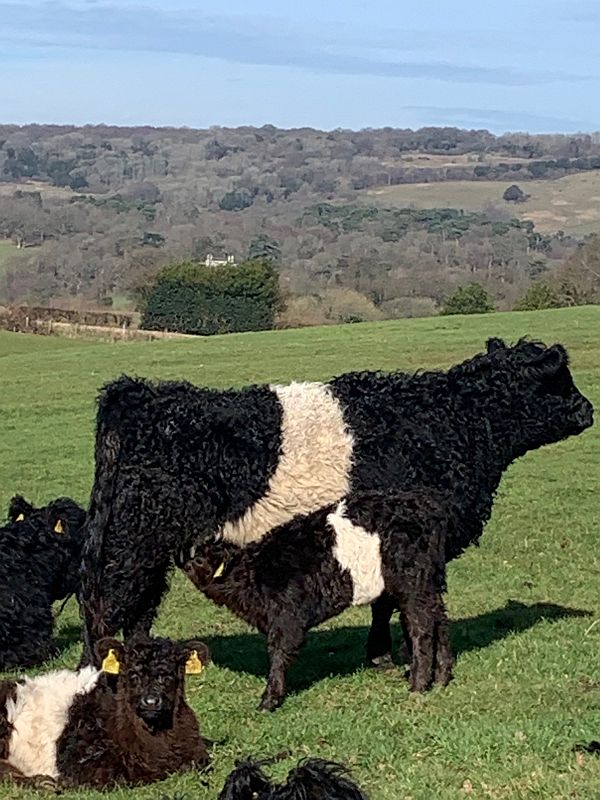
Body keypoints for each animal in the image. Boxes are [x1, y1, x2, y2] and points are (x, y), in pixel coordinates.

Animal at [0, 636, 211, 792]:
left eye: (169, 675)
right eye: (132, 674)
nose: (151, 701)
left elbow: (199, 763)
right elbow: (118, 778)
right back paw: (42, 782)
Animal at [77, 340, 592, 668]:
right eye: (560, 380)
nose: (589, 410)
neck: (453, 420)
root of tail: (139, 394)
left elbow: (384, 601)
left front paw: (380, 654)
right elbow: (392, 600)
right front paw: (390, 656)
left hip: (150, 544)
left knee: (140, 611)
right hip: (132, 542)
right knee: (106, 606)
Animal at [185, 490, 452, 708]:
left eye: (201, 557)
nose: (187, 563)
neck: (252, 571)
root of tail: (425, 506)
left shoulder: (286, 618)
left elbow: (279, 653)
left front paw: (269, 700)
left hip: (411, 584)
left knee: (421, 626)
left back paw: (418, 685)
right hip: (429, 585)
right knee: (439, 620)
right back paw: (441, 678)